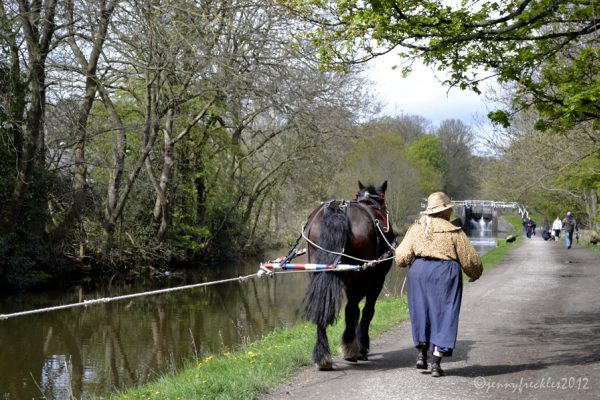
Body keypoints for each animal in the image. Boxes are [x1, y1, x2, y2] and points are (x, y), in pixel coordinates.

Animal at [302, 180, 396, 368]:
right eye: (383, 199)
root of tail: (337, 210)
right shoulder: (377, 280)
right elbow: (367, 311)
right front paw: (363, 346)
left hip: (319, 271)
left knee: (321, 306)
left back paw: (323, 355)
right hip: (359, 277)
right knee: (351, 308)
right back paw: (351, 347)